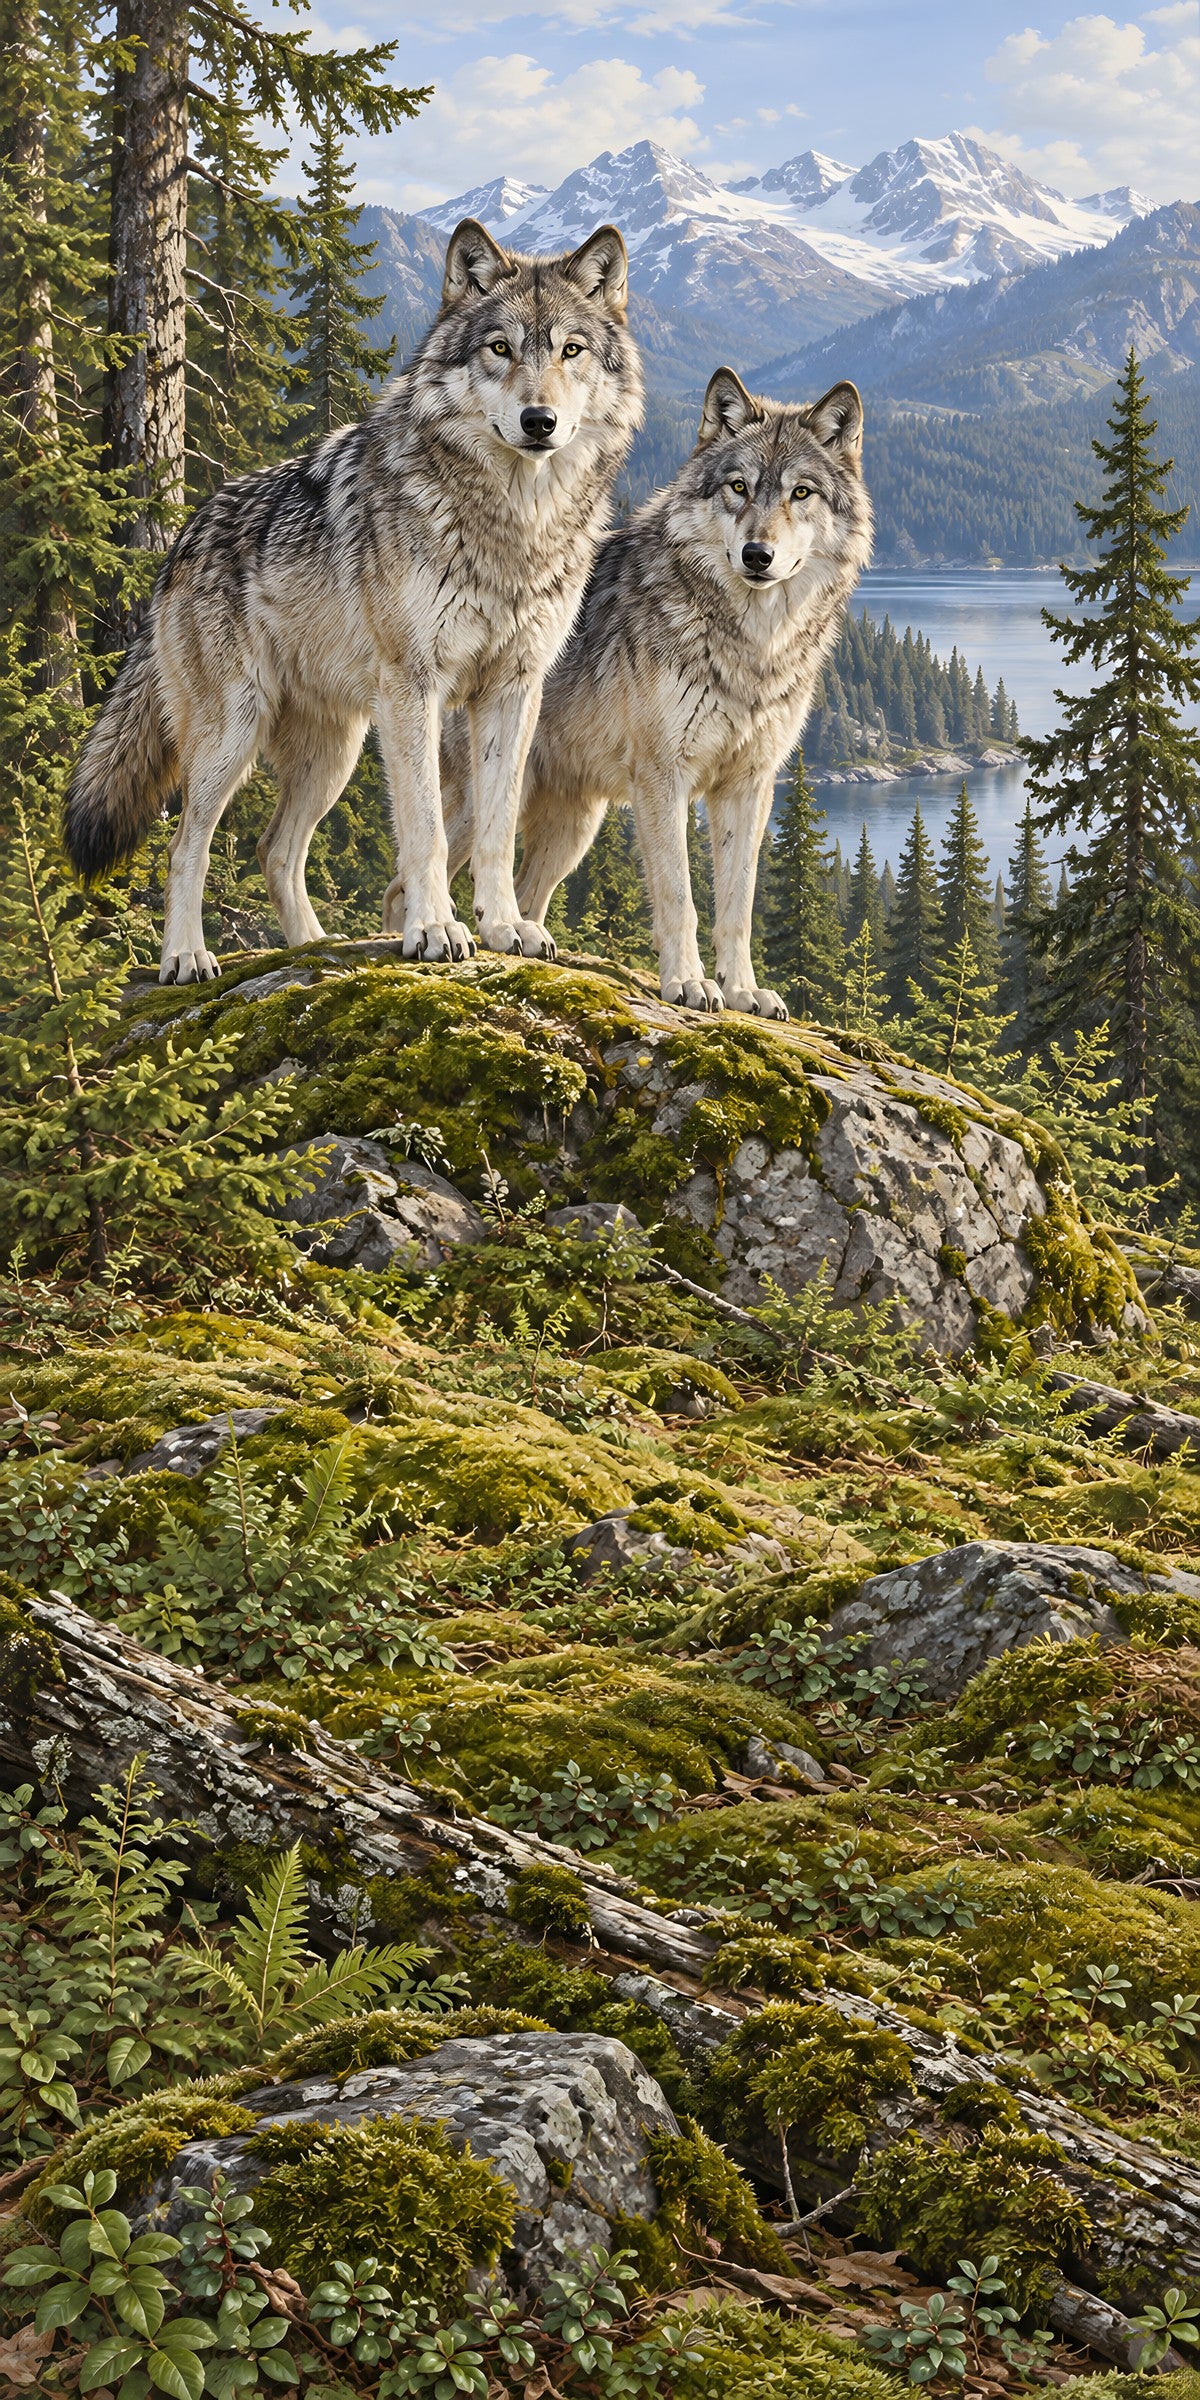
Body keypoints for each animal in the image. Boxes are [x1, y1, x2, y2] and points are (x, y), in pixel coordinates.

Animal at [65, 219, 642, 983]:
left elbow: (494, 832)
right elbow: (426, 831)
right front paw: (435, 931)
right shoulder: (414, 687)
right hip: (233, 735)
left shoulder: (514, 690)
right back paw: (186, 956)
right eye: (500, 348)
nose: (539, 420)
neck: (511, 528)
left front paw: (506, 927)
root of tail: (185, 534)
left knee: (275, 850)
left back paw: (310, 948)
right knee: (186, 845)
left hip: (334, 753)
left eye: (570, 351)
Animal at [420, 366, 870, 1017]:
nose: (757, 555)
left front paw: (743, 990)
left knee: (527, 893)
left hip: (575, 834)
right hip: (490, 806)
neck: (750, 644)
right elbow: (680, 896)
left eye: (801, 493)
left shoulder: (749, 786)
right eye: (738, 487)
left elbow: (738, 907)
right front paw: (689, 983)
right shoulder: (664, 777)